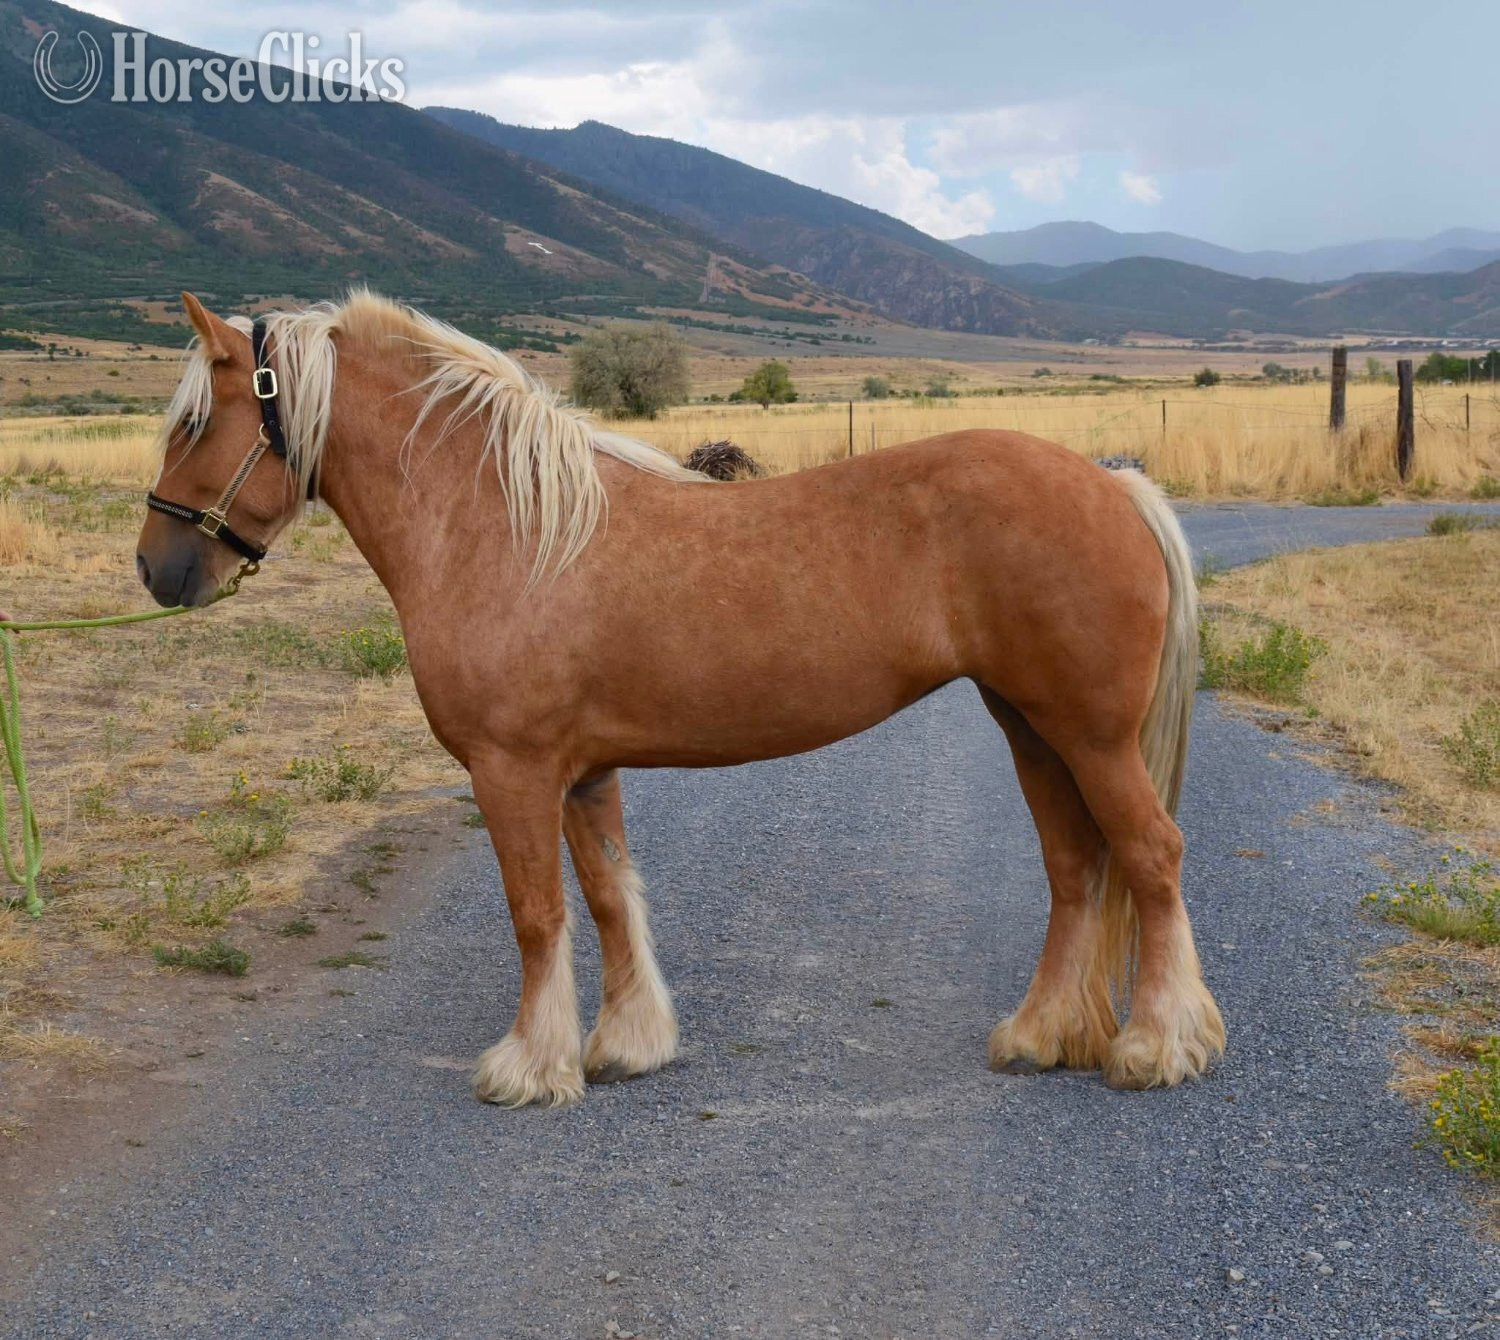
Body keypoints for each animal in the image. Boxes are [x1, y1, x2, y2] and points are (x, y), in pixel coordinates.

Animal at [135, 290, 1226, 1108]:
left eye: (194, 421)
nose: (157, 569)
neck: (507, 527)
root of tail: (1114, 484)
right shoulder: (582, 773)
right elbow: (611, 897)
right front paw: (627, 1043)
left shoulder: (510, 770)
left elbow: (537, 913)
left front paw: (529, 1066)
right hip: (1032, 728)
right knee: (1077, 869)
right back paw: (1040, 1035)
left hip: (1089, 736)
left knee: (1151, 856)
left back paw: (1156, 1046)